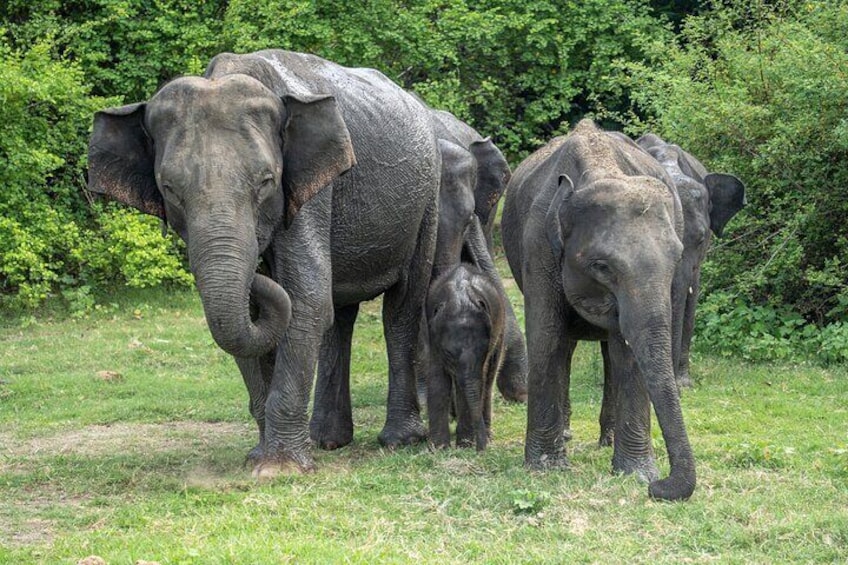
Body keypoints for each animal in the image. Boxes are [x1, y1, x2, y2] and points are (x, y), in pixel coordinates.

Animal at [86, 49, 444, 476]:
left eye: (266, 182)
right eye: (170, 189)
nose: (260, 253)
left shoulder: (309, 191)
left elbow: (305, 299)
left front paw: (278, 469)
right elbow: (257, 317)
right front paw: (259, 458)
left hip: (427, 199)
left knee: (401, 307)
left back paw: (398, 441)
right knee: (339, 317)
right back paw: (327, 441)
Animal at [424, 262, 504, 452]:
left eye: (483, 351)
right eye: (448, 353)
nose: (482, 450)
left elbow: (473, 383)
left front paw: (464, 445)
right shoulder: (433, 337)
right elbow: (437, 378)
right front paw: (439, 448)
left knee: (489, 379)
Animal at [504, 118, 696, 498]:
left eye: (677, 257)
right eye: (602, 266)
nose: (661, 488)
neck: (599, 167)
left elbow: (628, 351)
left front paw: (637, 475)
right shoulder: (538, 246)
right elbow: (547, 337)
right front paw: (546, 469)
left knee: (610, 352)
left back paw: (607, 440)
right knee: (565, 345)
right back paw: (567, 435)